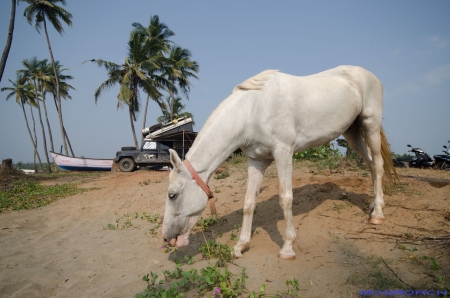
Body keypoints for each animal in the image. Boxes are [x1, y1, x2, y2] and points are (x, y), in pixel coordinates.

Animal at [162, 64, 398, 258]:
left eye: (172, 195)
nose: (167, 239)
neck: (252, 110)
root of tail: (368, 75)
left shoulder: (283, 152)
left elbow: (286, 198)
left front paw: (287, 247)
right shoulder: (256, 160)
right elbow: (249, 202)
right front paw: (240, 246)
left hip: (370, 125)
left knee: (377, 165)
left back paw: (378, 214)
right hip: (352, 132)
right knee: (370, 164)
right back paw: (372, 205)